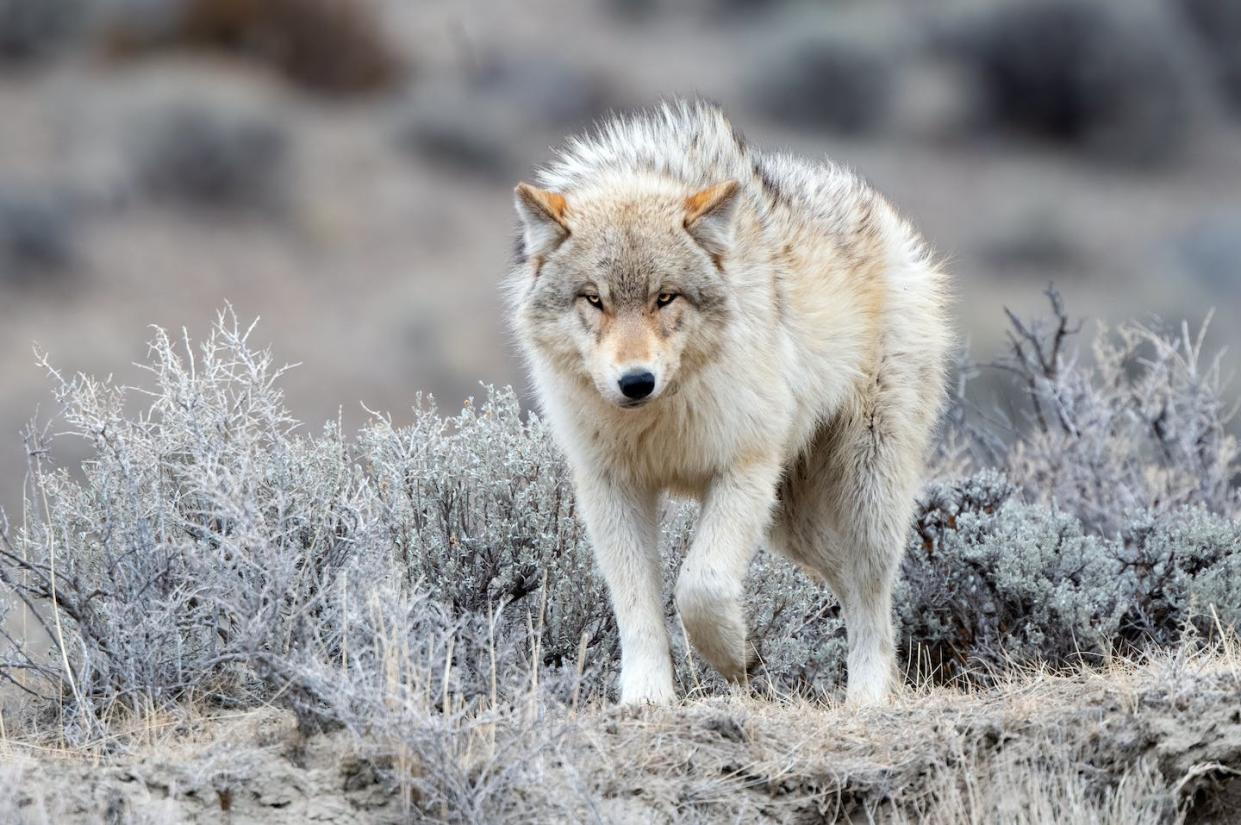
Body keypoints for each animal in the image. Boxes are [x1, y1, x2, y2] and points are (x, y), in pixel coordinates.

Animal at [503, 98, 948, 699]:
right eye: (593, 300)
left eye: (665, 297)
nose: (636, 381)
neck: (660, 420)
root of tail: (886, 215)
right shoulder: (611, 487)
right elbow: (637, 607)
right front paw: (647, 697)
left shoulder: (745, 468)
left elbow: (701, 586)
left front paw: (734, 656)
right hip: (791, 523)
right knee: (843, 583)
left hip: (863, 498)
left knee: (872, 596)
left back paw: (869, 698)